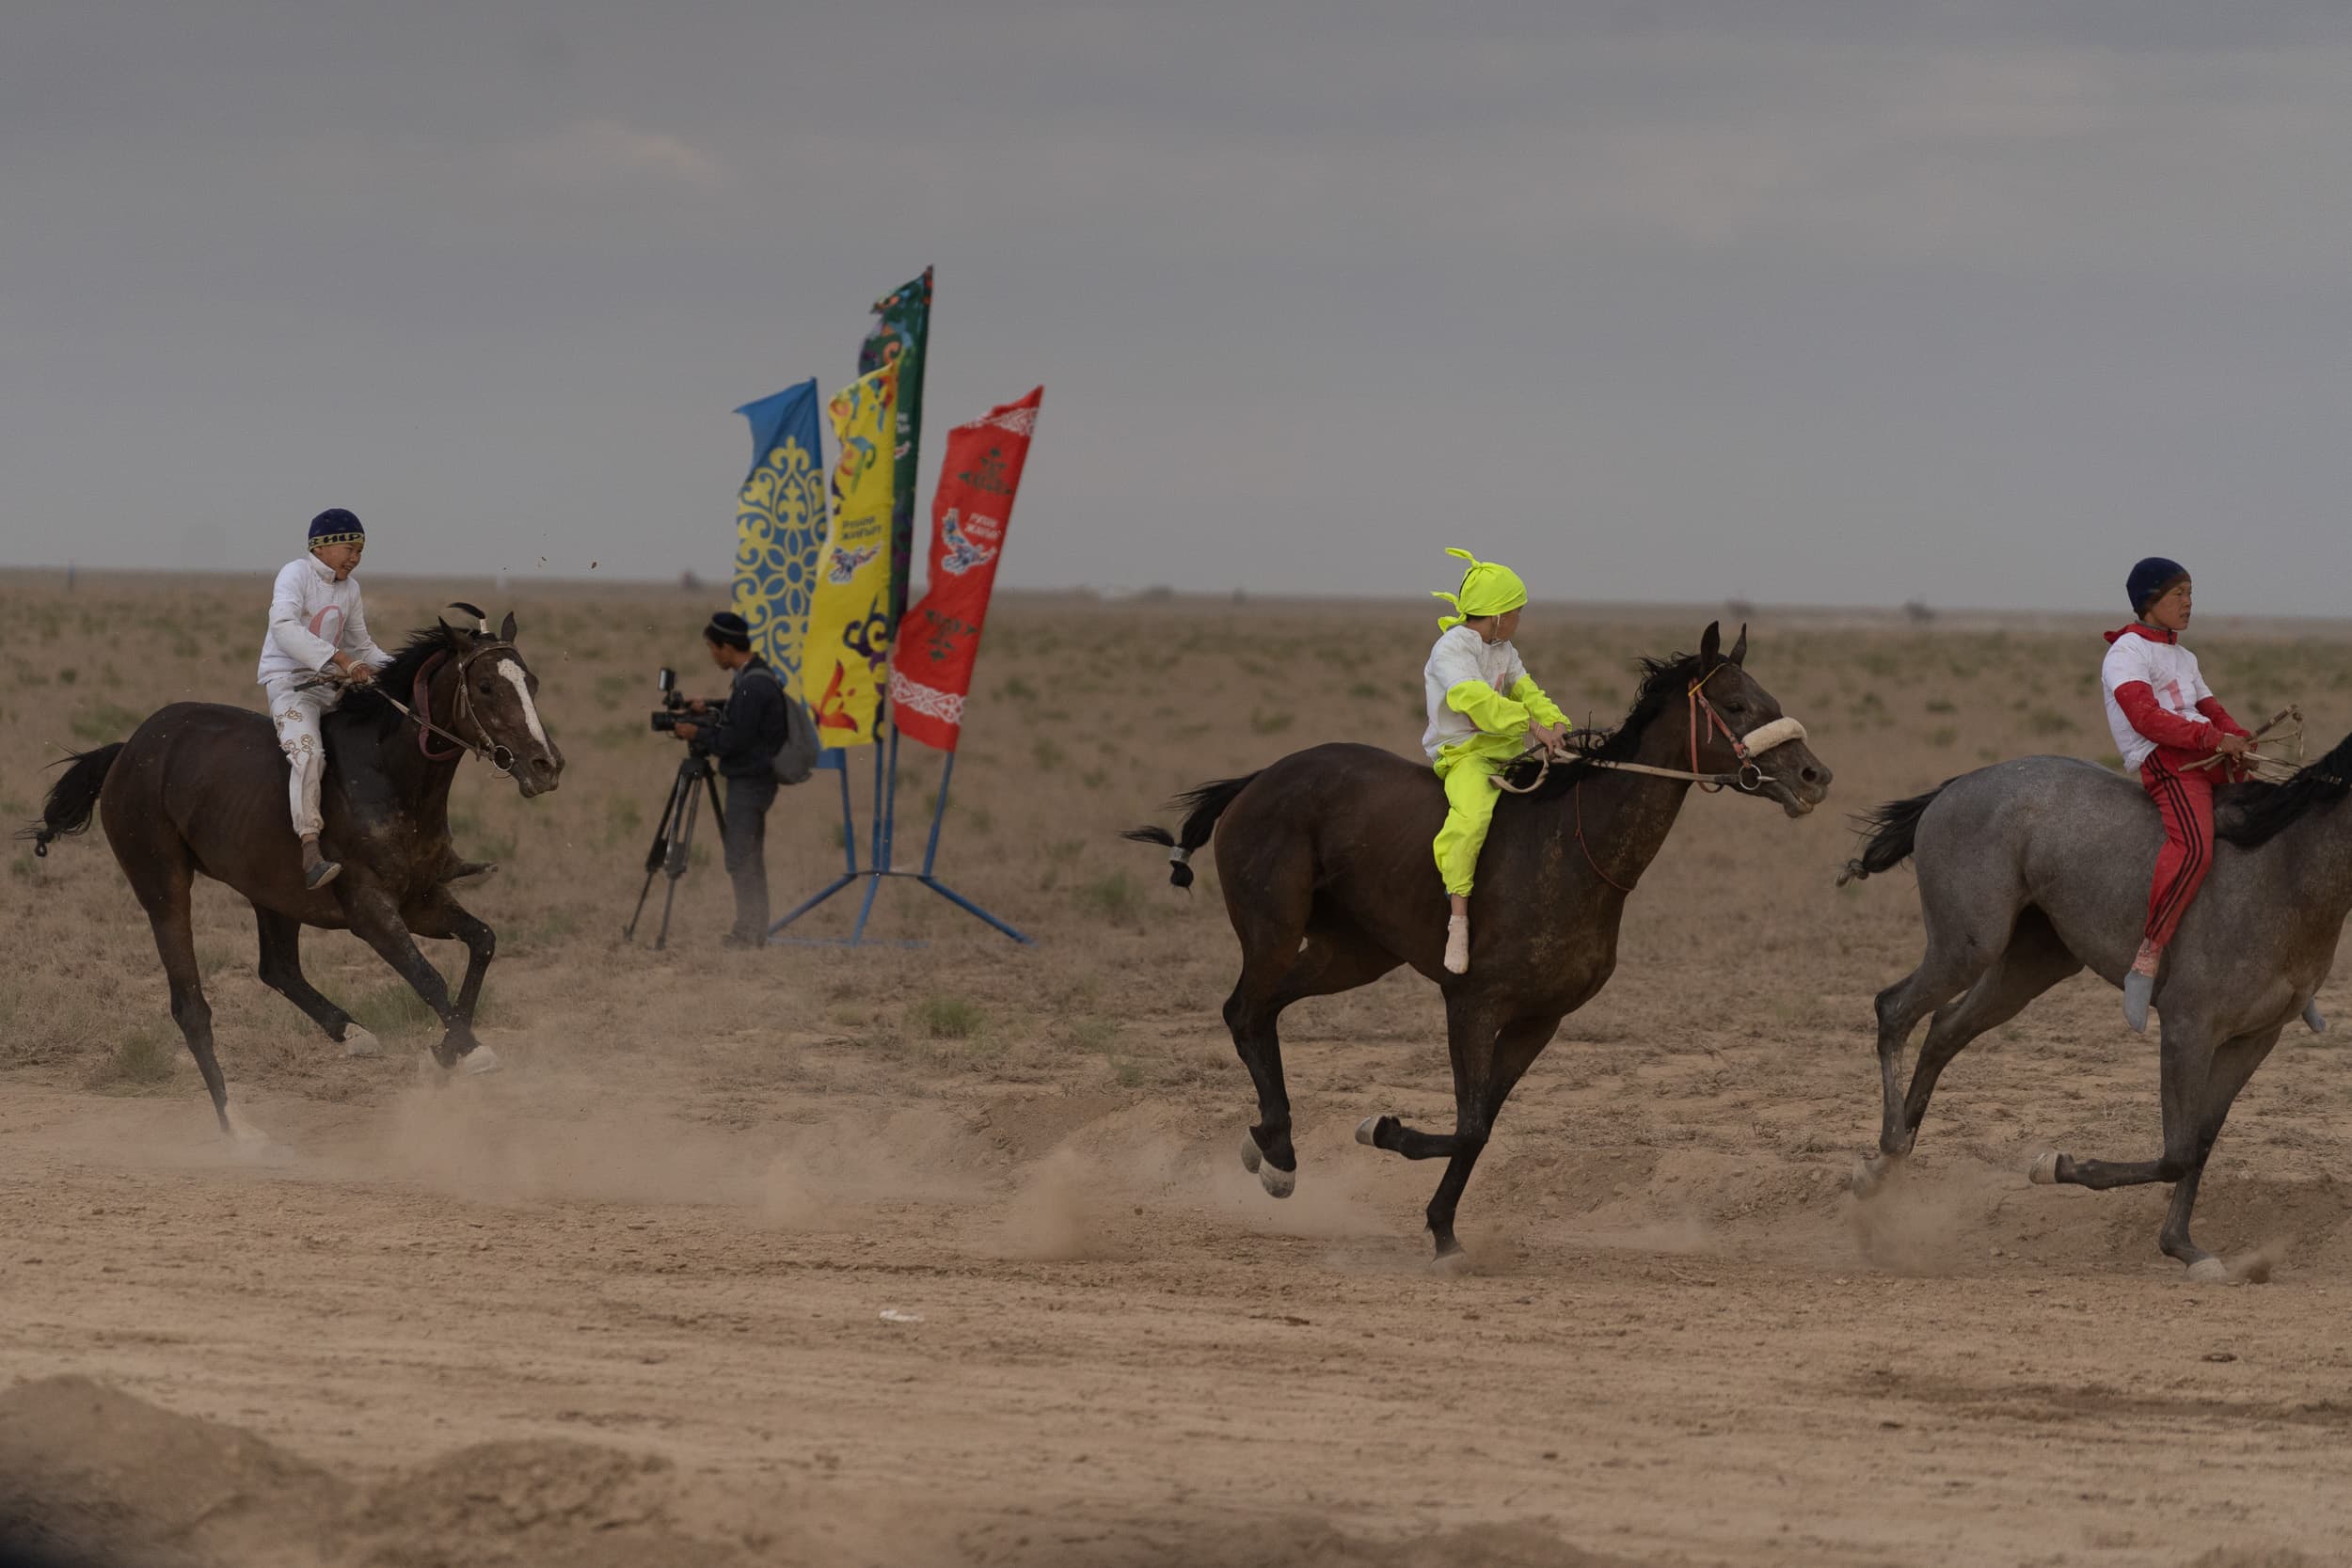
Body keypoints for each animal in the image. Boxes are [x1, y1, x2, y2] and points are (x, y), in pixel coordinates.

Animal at [24, 606, 562, 1132]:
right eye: (487, 686)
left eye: (532, 682)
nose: (547, 765)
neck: (388, 775)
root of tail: (127, 751)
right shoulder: (369, 910)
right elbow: (428, 977)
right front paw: (470, 1052)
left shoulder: (421, 900)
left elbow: (483, 941)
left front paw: (446, 1054)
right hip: (162, 885)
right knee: (191, 1007)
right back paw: (239, 1132)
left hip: (272, 893)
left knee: (277, 968)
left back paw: (352, 1033)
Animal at [1129, 620, 1825, 1259]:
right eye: (1736, 705)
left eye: (1768, 696)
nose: (1815, 775)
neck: (1573, 848)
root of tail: (1259, 778)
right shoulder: (1471, 1001)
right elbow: (1467, 1126)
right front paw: (1383, 1131)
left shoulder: (1539, 1019)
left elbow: (1483, 1124)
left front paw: (1442, 1226)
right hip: (1273, 925)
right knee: (1244, 1009)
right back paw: (1278, 1154)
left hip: (1351, 953)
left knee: (1264, 1009)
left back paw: (1272, 1147)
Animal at [1844, 742, 2343, 1278]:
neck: (2282, 869)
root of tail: (1957, 786)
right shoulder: (2187, 1028)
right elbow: (2179, 1151)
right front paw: (2055, 1165)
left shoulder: (2254, 1039)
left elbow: (2201, 1142)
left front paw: (2185, 1248)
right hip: (1965, 948)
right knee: (1894, 1009)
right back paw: (1887, 1153)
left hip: (2029, 964)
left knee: (1943, 1030)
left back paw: (1882, 1168)